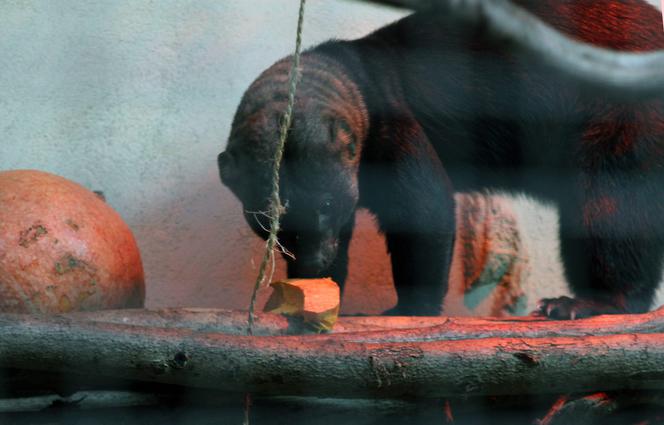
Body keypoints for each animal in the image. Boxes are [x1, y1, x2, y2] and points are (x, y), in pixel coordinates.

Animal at [218, 0, 664, 316]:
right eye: (266, 219)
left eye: (327, 203)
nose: (313, 261)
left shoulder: (400, 136)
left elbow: (426, 219)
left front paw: (407, 312)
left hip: (616, 159)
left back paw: (577, 305)